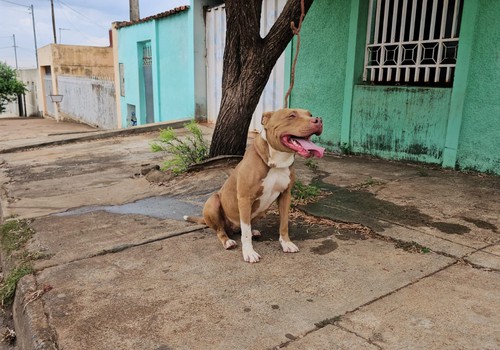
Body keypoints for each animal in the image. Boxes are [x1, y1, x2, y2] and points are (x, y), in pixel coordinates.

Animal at [185, 109, 324, 262]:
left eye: (310, 115)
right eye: (291, 115)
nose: (318, 120)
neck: (276, 163)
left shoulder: (285, 195)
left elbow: (284, 223)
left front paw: (286, 243)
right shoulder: (245, 199)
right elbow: (245, 233)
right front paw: (249, 252)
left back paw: (253, 231)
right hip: (213, 202)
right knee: (221, 230)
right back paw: (227, 241)